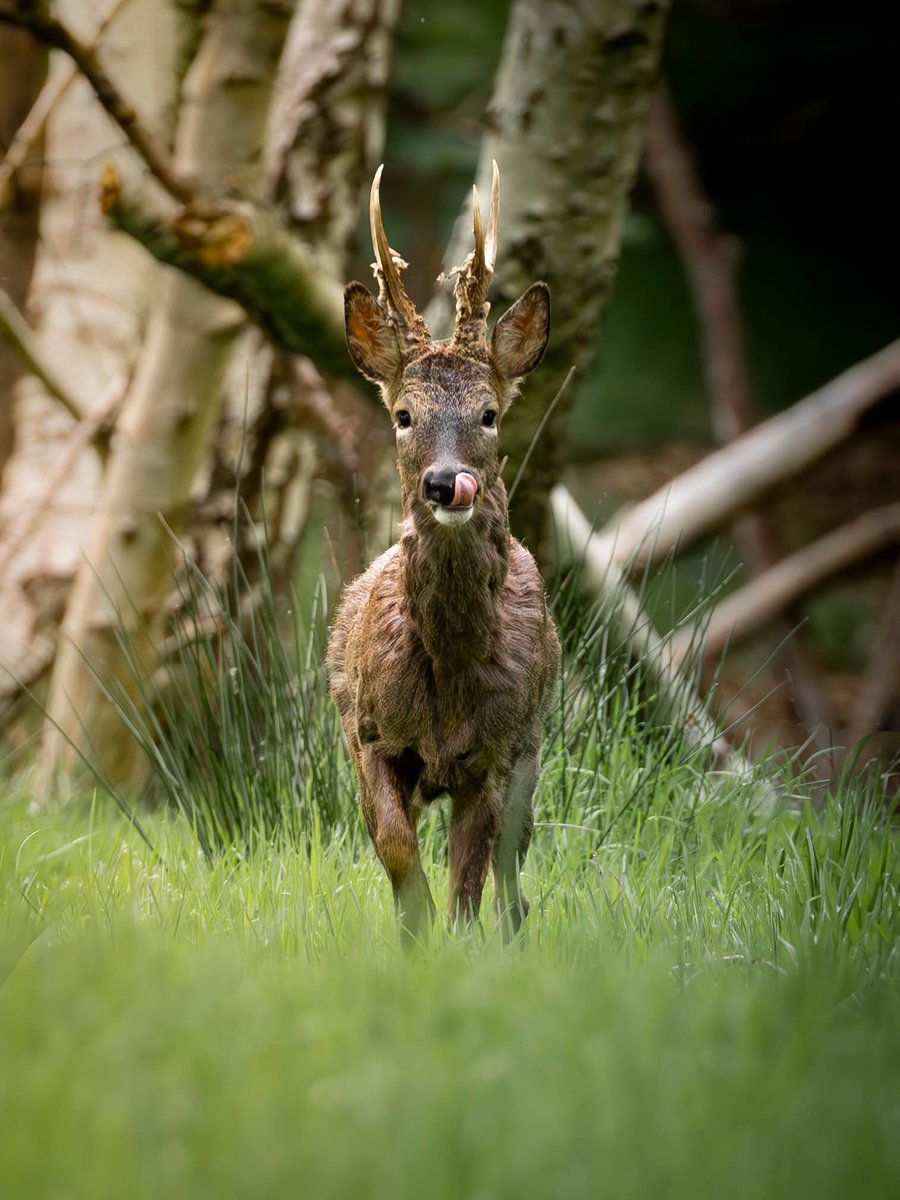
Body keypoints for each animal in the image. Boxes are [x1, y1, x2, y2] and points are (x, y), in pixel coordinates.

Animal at [327, 162, 560, 945]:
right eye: (404, 415)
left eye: (488, 414)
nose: (444, 482)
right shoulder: (369, 734)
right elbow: (397, 850)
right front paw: (413, 937)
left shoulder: (495, 754)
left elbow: (470, 880)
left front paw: (453, 946)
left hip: (534, 742)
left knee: (514, 865)